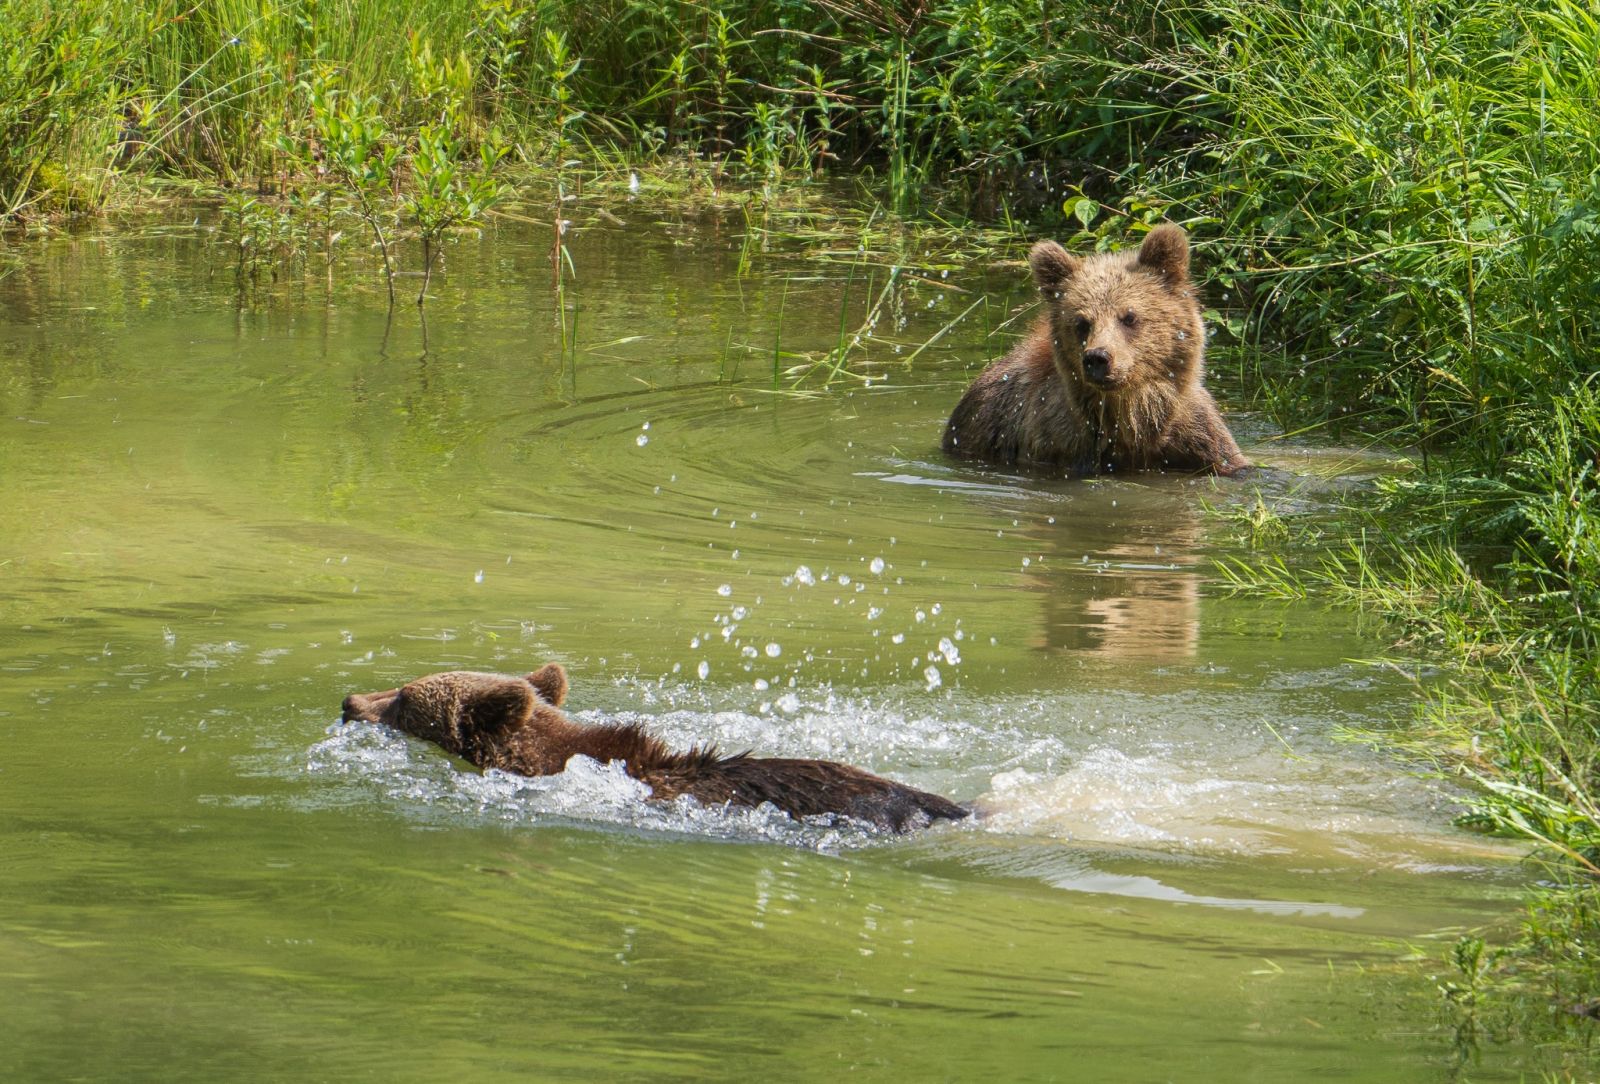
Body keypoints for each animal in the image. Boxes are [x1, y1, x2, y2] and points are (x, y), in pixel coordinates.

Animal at [934, 225, 1248, 476]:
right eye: (1082, 322)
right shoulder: (1063, 444)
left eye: (1129, 316)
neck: (1133, 416)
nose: (1098, 358)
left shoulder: (1195, 435)